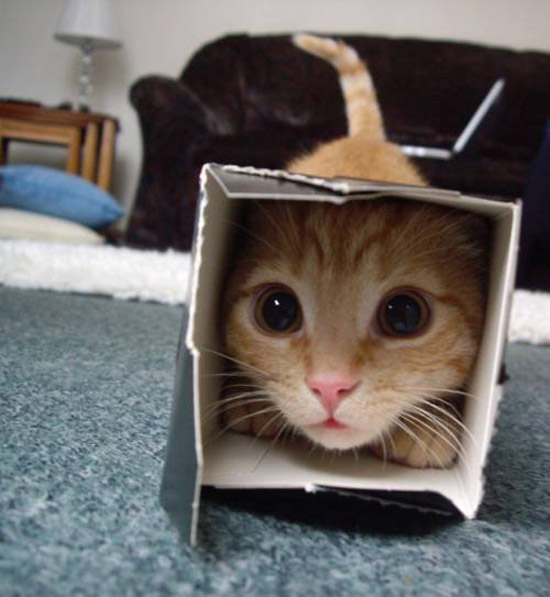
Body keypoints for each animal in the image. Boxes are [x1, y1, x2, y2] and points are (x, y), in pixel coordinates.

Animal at [218, 35, 490, 468]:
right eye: (277, 311)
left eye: (404, 315)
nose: (330, 386)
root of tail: (367, 139)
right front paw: (250, 401)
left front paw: (430, 429)